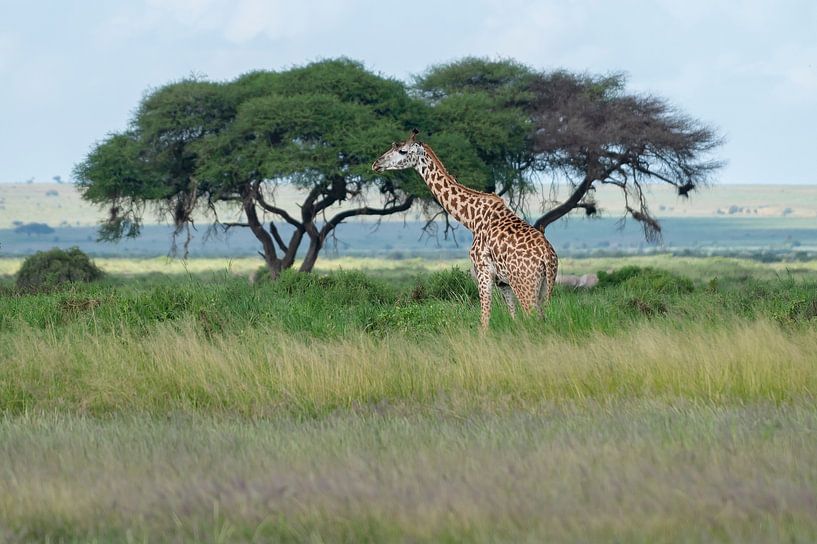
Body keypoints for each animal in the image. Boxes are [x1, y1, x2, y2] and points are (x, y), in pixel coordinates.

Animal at [372, 129, 558, 329]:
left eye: (403, 151)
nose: (376, 164)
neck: (472, 219)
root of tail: (547, 256)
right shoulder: (503, 282)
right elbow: (513, 317)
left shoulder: (483, 271)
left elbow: (484, 320)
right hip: (545, 286)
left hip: (525, 285)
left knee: (534, 318)